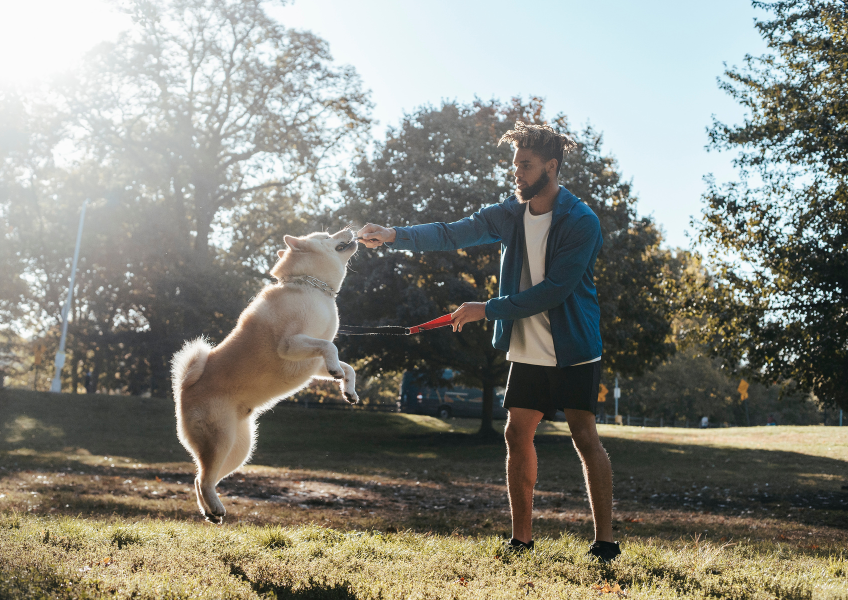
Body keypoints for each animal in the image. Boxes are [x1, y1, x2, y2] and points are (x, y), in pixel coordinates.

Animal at [172, 227, 358, 524]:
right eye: (327, 235)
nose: (349, 229)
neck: (312, 287)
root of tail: (185, 389)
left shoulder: (312, 361)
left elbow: (345, 364)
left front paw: (348, 389)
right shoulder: (291, 344)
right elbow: (331, 347)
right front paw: (337, 372)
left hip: (239, 450)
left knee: (201, 479)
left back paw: (211, 511)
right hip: (221, 439)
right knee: (203, 479)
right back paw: (215, 508)